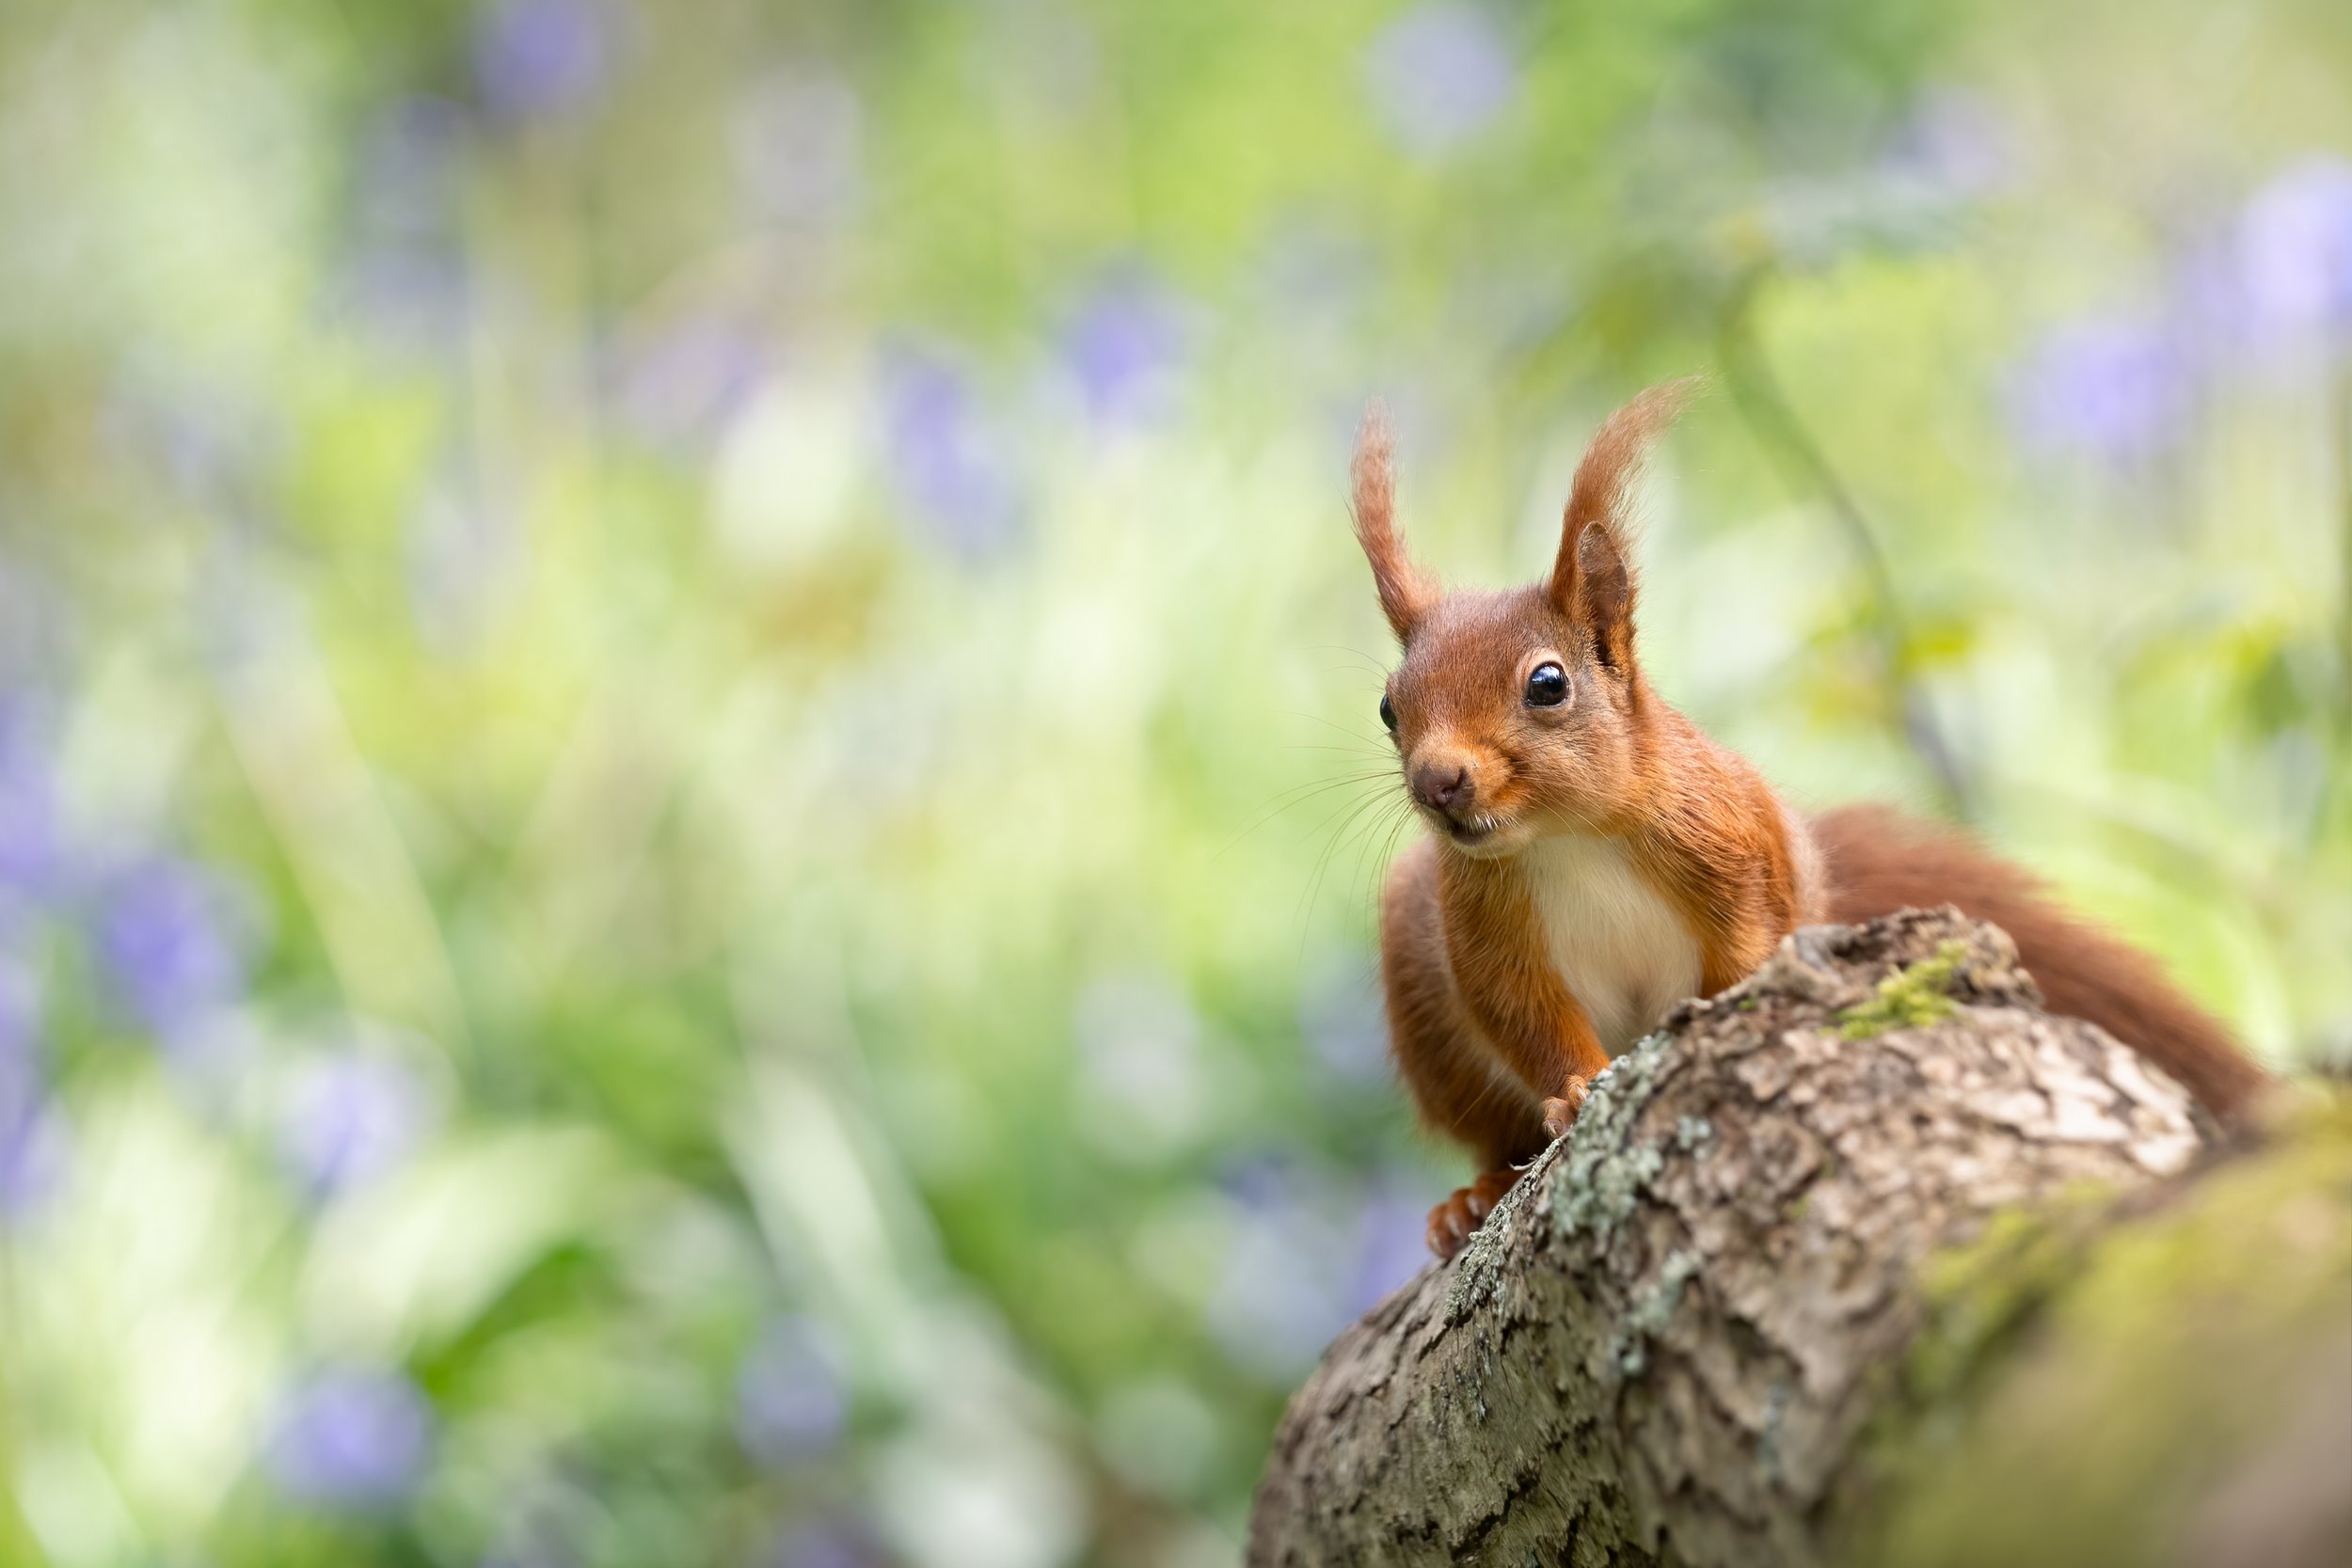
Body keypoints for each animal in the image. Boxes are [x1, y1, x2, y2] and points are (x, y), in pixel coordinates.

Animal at [1350, 381, 2271, 1260]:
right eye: (1390, 708)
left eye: (1548, 684)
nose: (1438, 781)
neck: (1568, 839)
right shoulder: (1484, 922)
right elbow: (1523, 1014)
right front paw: (1575, 1089)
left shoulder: (1729, 838)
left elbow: (1747, 941)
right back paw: (1475, 1194)